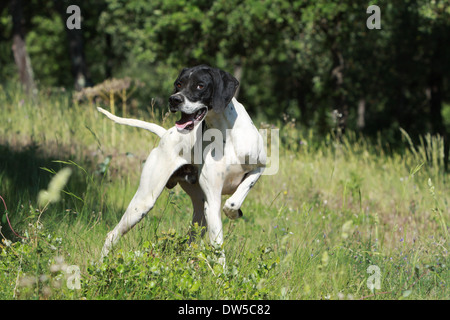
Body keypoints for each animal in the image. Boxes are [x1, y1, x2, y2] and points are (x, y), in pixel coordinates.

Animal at [100, 65, 266, 264]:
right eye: (178, 84)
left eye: (200, 85)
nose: (174, 99)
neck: (226, 134)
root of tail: (165, 134)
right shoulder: (212, 202)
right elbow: (218, 246)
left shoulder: (260, 167)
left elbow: (235, 199)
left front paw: (234, 212)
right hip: (143, 203)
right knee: (111, 235)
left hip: (199, 214)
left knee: (190, 241)